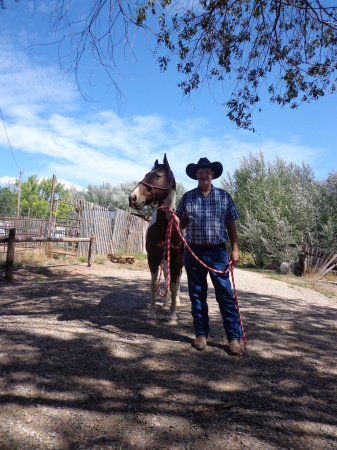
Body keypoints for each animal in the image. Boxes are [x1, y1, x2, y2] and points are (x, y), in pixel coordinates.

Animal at [128, 154, 184, 324]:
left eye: (158, 176)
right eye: (146, 174)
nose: (133, 198)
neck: (165, 227)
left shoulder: (177, 258)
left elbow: (174, 285)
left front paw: (172, 317)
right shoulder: (153, 257)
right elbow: (154, 285)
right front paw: (152, 315)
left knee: (176, 279)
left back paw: (176, 302)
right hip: (165, 260)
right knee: (166, 276)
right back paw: (166, 303)